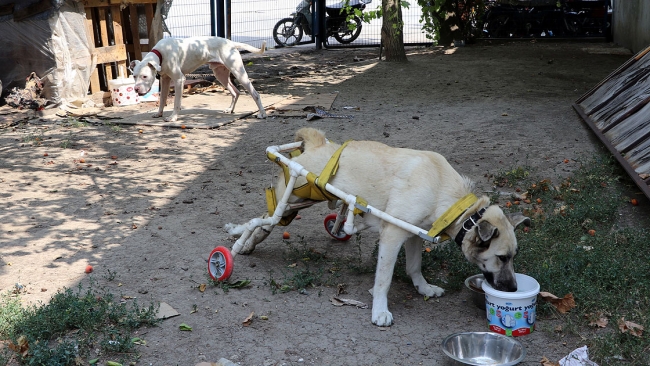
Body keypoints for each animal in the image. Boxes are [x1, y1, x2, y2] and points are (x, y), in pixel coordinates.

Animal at [129, 37, 266, 121]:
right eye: (134, 76)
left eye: (145, 76)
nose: (136, 89)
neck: (161, 54)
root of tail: (231, 43)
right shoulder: (165, 80)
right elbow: (162, 99)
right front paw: (159, 113)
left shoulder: (179, 80)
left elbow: (176, 102)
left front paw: (173, 117)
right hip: (220, 74)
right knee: (235, 92)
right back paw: (230, 109)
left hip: (239, 73)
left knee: (255, 94)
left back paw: (262, 114)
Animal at [225, 128, 528, 326]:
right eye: (502, 258)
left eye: (513, 257)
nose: (514, 289)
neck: (451, 201)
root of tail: (317, 143)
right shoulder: (392, 236)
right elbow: (383, 280)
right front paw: (379, 311)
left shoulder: (413, 235)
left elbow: (414, 267)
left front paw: (423, 288)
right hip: (293, 198)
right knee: (264, 220)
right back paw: (239, 244)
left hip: (299, 202)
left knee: (267, 219)